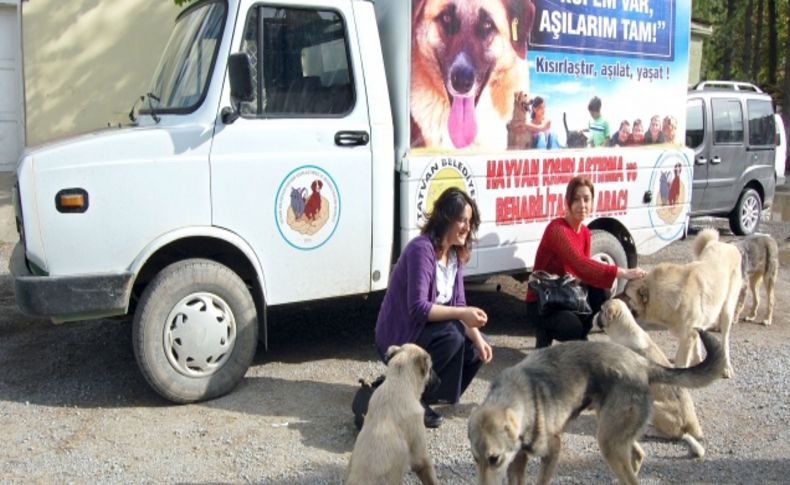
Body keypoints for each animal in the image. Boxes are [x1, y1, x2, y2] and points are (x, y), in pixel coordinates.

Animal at [468, 330, 728, 482]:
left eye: (494, 459)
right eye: (475, 459)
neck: (520, 396)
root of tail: (643, 364)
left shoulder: (552, 450)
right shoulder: (517, 462)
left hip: (609, 441)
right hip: (612, 433)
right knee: (638, 454)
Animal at [596, 298, 708, 458]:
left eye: (601, 309)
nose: (594, 314)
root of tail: (692, 425)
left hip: (654, 404)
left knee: (676, 435)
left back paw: (651, 430)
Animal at [624, 228, 744, 378]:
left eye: (626, 295)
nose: (609, 300)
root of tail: (726, 245)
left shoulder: (686, 337)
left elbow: (681, 363)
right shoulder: (687, 335)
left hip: (727, 311)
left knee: (725, 341)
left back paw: (726, 367)